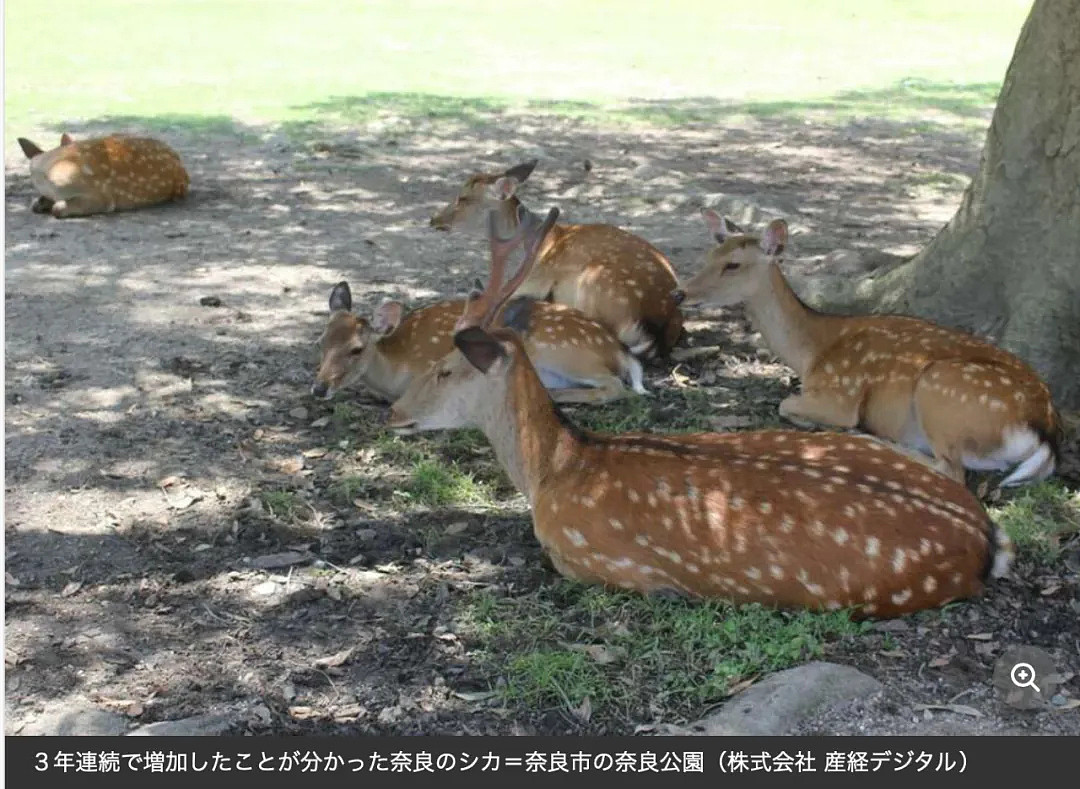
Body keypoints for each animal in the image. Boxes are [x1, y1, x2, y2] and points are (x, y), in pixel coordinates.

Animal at [673, 209, 1062, 490]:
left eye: (733, 265)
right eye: (709, 254)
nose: (679, 293)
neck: (811, 353)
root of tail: (1043, 429)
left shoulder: (840, 394)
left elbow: (787, 404)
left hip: (942, 389)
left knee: (952, 471)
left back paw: (873, 440)